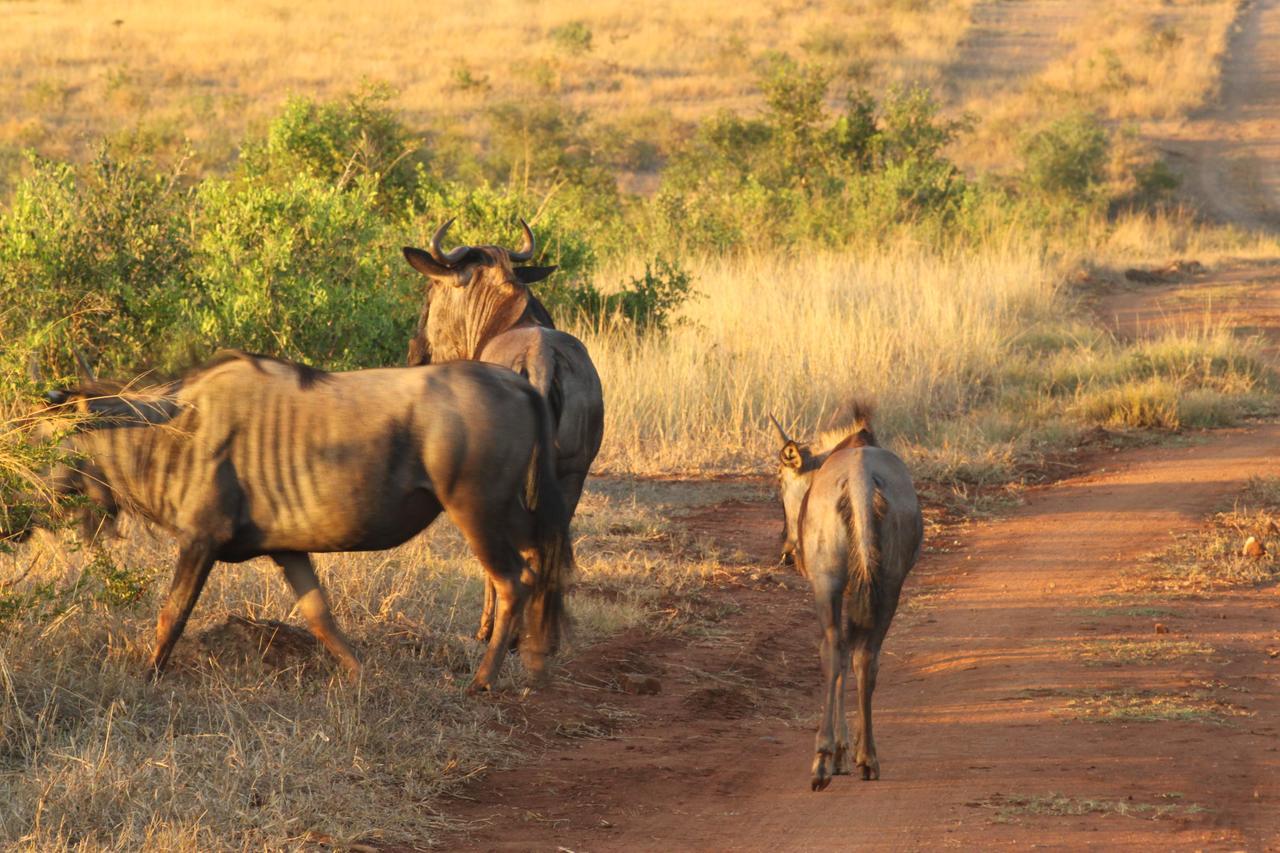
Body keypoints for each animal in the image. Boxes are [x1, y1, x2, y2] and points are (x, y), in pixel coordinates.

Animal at [768, 409, 921, 788]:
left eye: (780, 480)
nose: (787, 550)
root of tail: (859, 480)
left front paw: (837, 752)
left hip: (828, 581)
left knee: (833, 650)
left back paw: (823, 759)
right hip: (889, 584)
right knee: (865, 656)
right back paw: (867, 758)